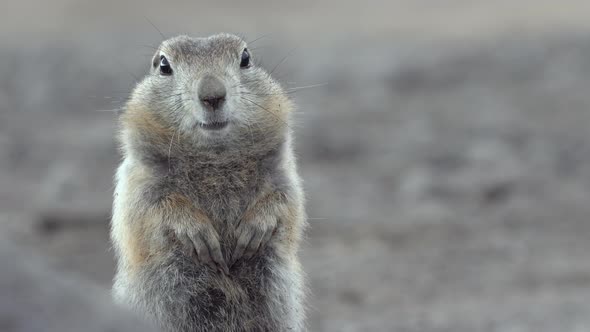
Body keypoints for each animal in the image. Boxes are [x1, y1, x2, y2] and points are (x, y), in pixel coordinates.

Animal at [108, 32, 308, 330]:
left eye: (245, 58)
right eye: (164, 65)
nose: (212, 95)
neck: (215, 159)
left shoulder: (283, 172)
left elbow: (286, 200)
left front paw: (255, 228)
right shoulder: (138, 180)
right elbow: (150, 206)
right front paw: (196, 231)